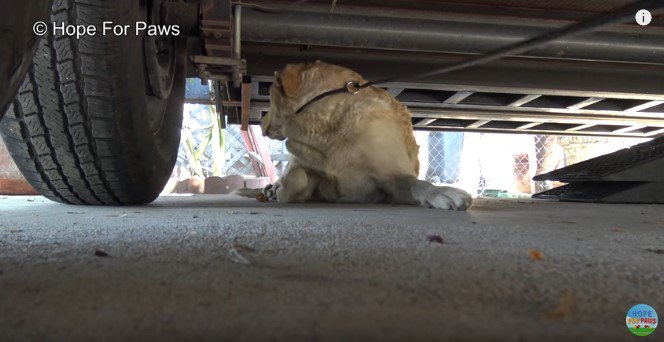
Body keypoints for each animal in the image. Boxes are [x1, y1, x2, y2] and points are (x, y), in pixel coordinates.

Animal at [237, 61, 472, 211]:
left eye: (270, 95)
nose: (261, 123)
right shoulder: (306, 168)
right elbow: (297, 175)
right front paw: (281, 191)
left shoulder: (390, 180)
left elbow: (418, 184)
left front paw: (441, 192)